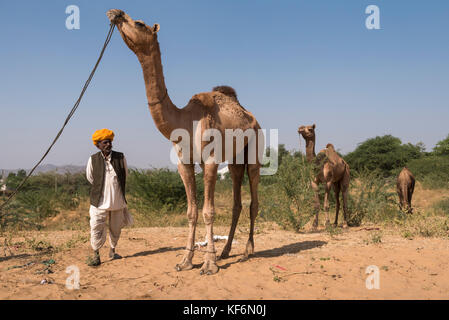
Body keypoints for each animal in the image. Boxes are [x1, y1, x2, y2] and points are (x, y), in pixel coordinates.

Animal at [107, 9, 262, 276]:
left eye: (139, 23)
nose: (115, 13)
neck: (184, 121)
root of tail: (251, 116)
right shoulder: (184, 162)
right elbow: (191, 211)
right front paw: (186, 260)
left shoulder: (210, 161)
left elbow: (209, 211)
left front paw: (209, 265)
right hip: (234, 160)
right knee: (236, 202)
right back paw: (226, 251)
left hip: (255, 147)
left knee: (253, 198)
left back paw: (247, 251)